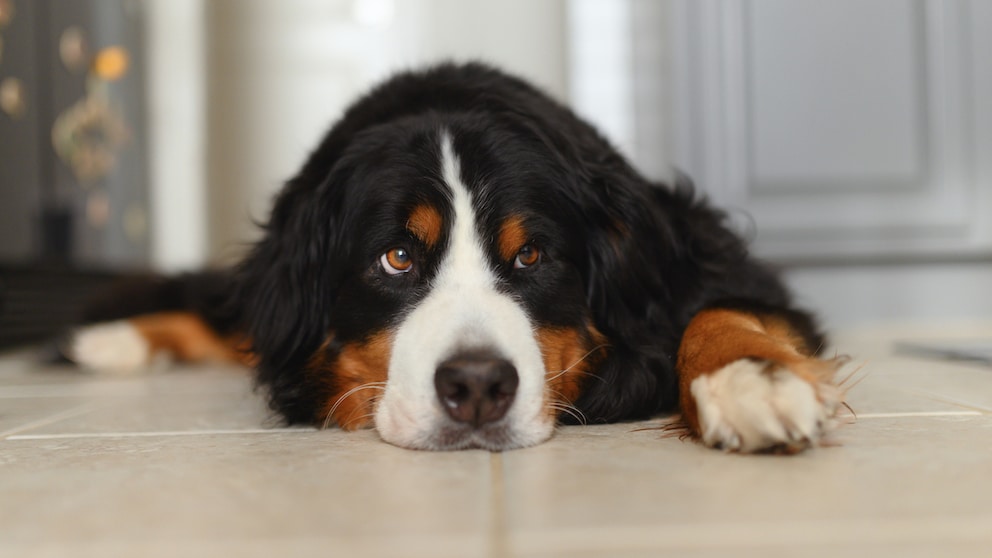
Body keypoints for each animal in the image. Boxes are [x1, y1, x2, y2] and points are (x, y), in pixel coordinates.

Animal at [70, 62, 844, 456]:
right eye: (396, 258)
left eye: (531, 254)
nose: (476, 386)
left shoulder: (700, 256)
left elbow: (721, 312)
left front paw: (751, 381)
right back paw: (106, 342)